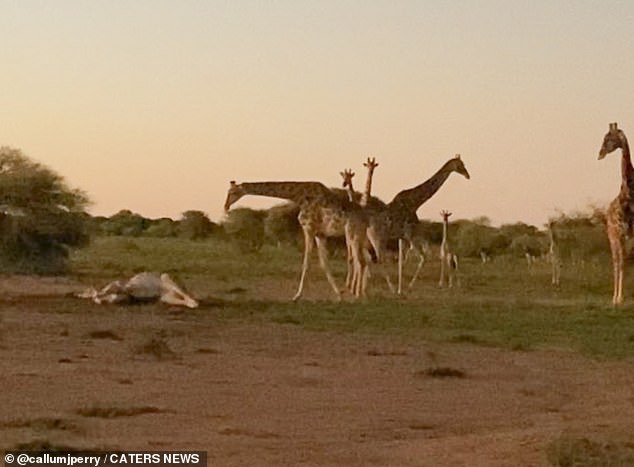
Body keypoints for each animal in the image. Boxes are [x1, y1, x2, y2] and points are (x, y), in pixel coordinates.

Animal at [225, 181, 368, 302]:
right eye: (228, 192)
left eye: (233, 192)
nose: (226, 206)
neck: (299, 196)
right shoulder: (319, 234)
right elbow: (324, 263)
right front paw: (339, 295)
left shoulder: (308, 228)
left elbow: (306, 264)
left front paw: (297, 296)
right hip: (359, 237)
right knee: (363, 261)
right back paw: (361, 293)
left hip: (353, 235)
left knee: (360, 261)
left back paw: (358, 295)